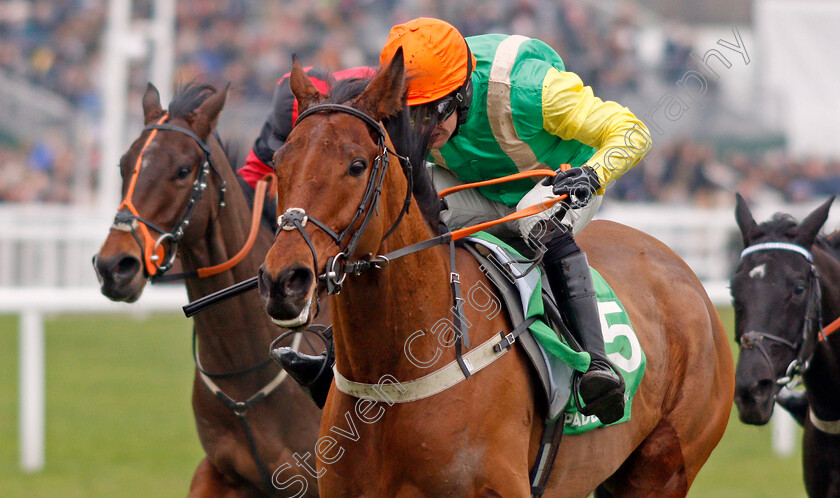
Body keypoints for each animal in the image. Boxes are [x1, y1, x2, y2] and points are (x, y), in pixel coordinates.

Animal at [260, 53, 736, 494]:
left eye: (357, 165)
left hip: (664, 466)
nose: (284, 281)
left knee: (546, 228)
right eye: (279, 161)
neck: (393, 380)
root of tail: (683, 271)